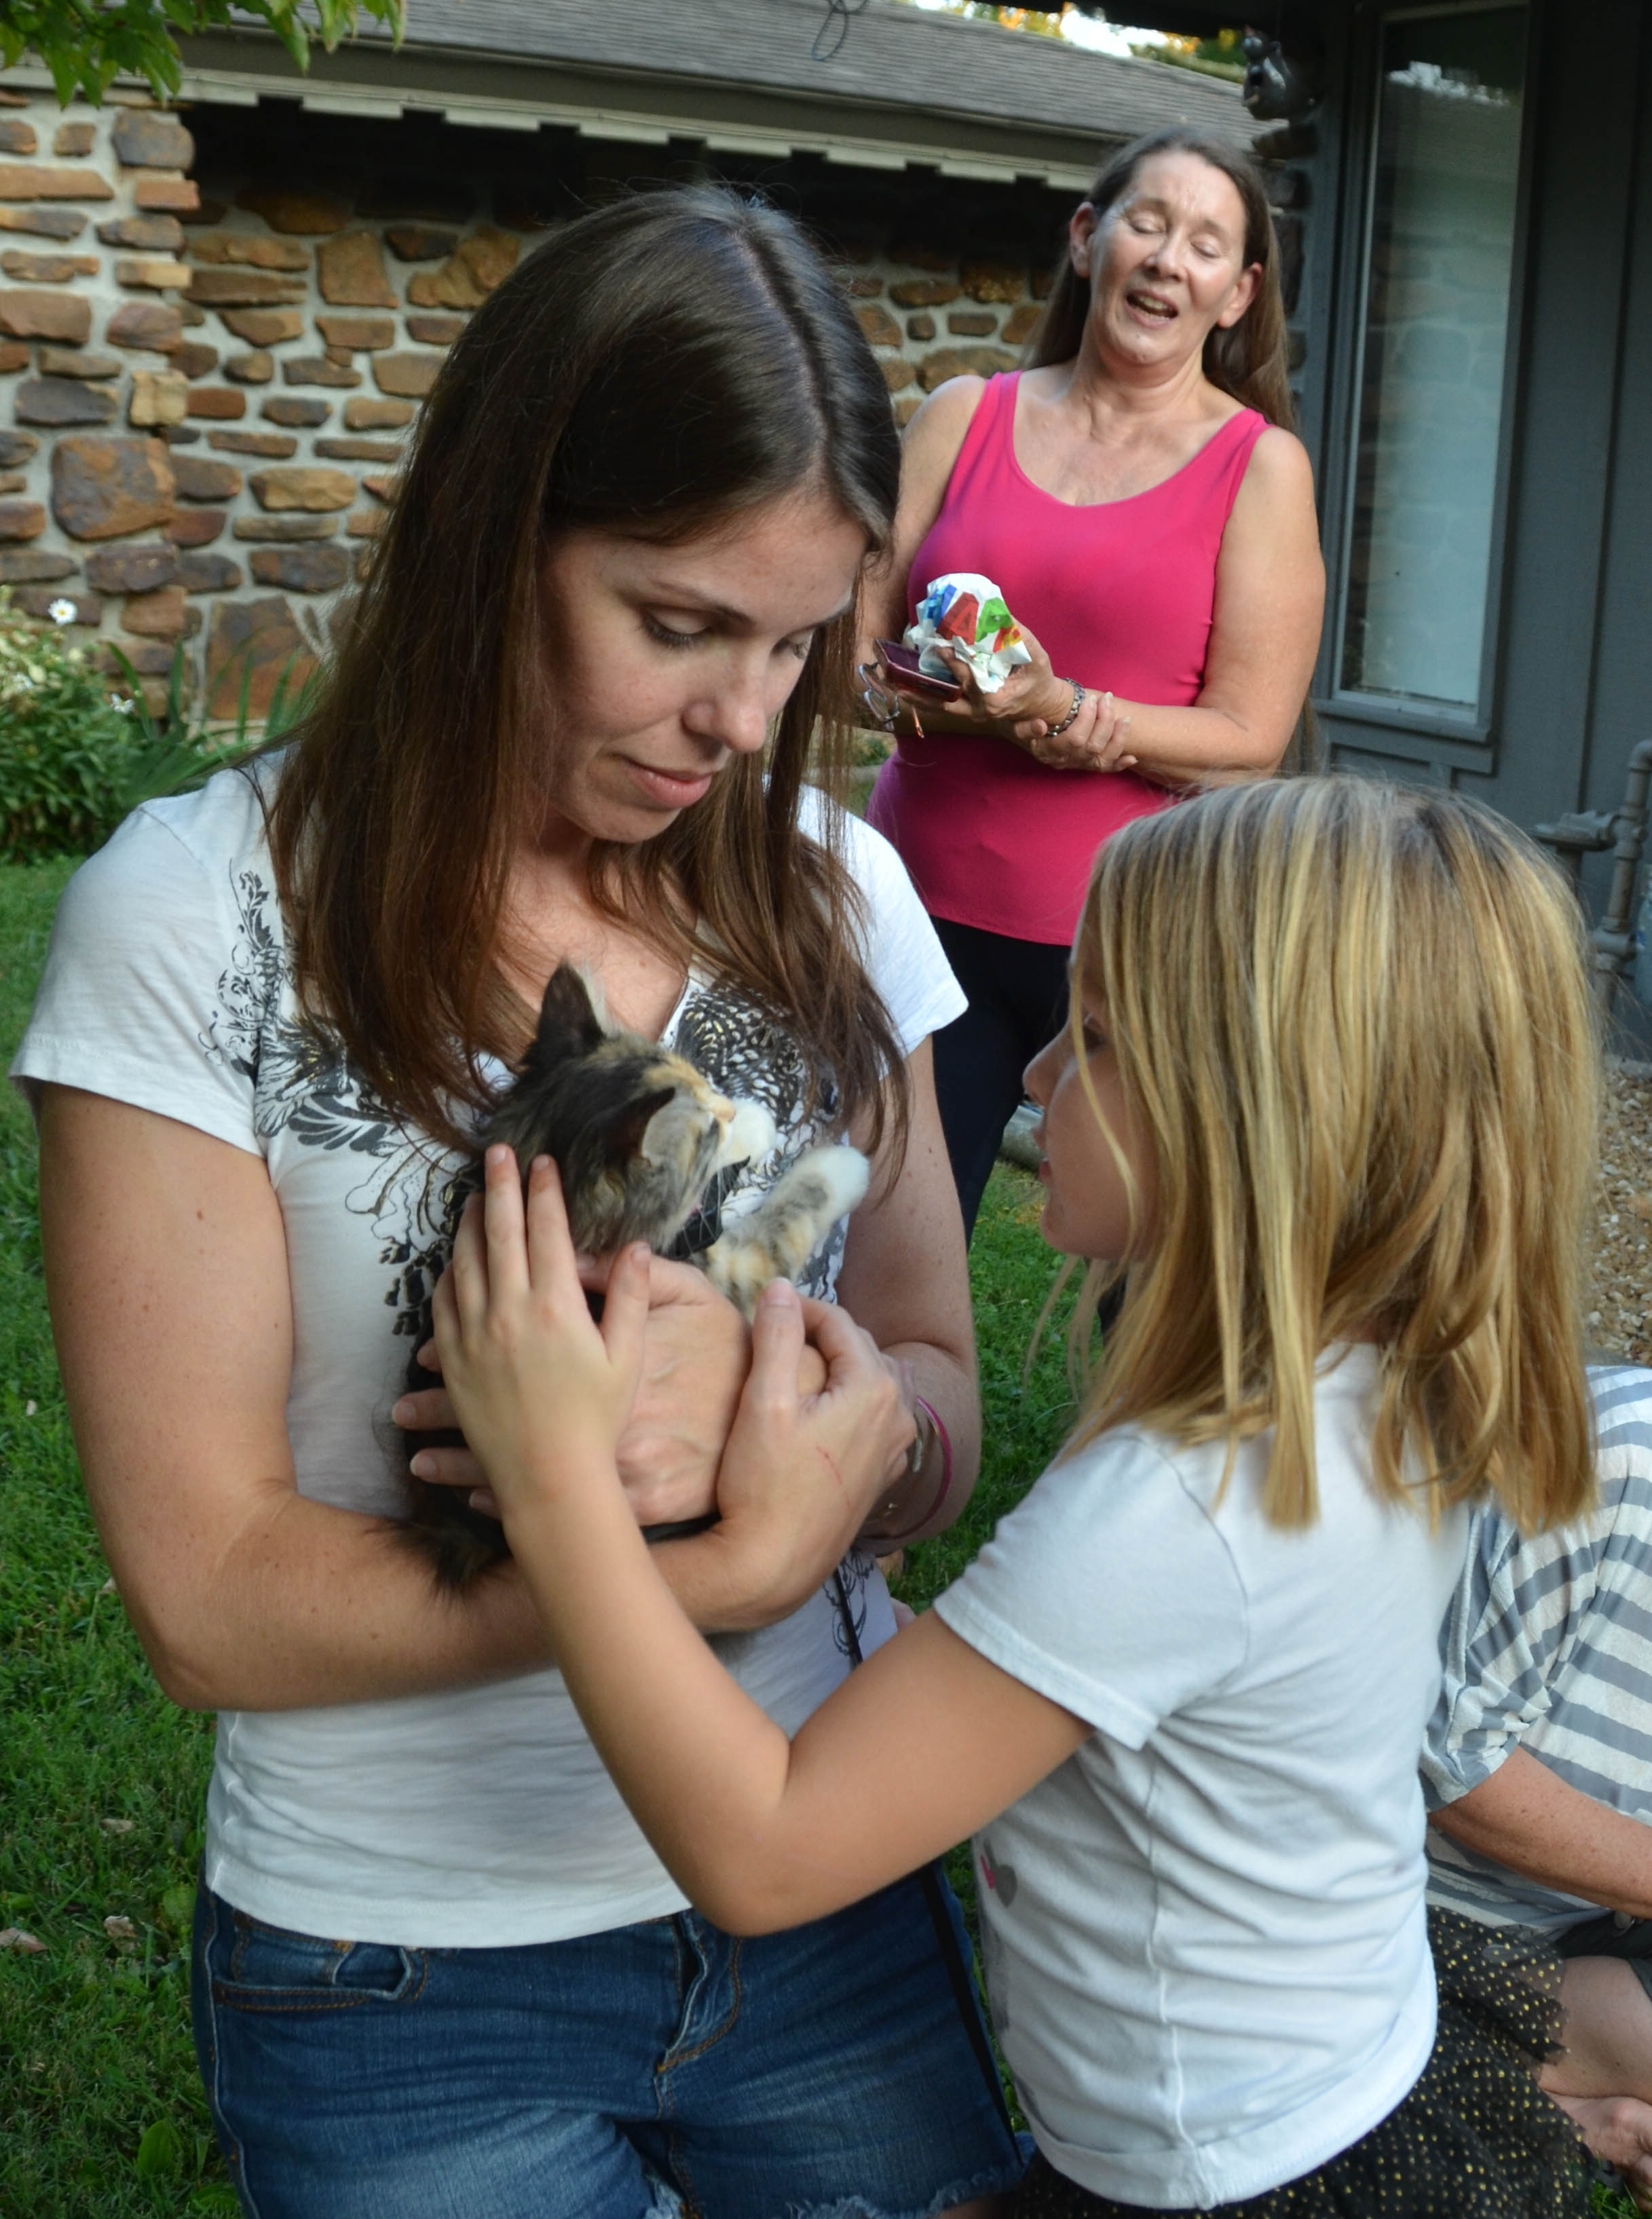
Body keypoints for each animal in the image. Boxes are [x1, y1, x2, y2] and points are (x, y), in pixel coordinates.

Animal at [399, 963, 869, 1588]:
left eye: (701, 1078)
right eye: (705, 1134)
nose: (724, 1107)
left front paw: (752, 1118)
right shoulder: (732, 1279)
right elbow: (784, 1225)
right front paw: (833, 1161)